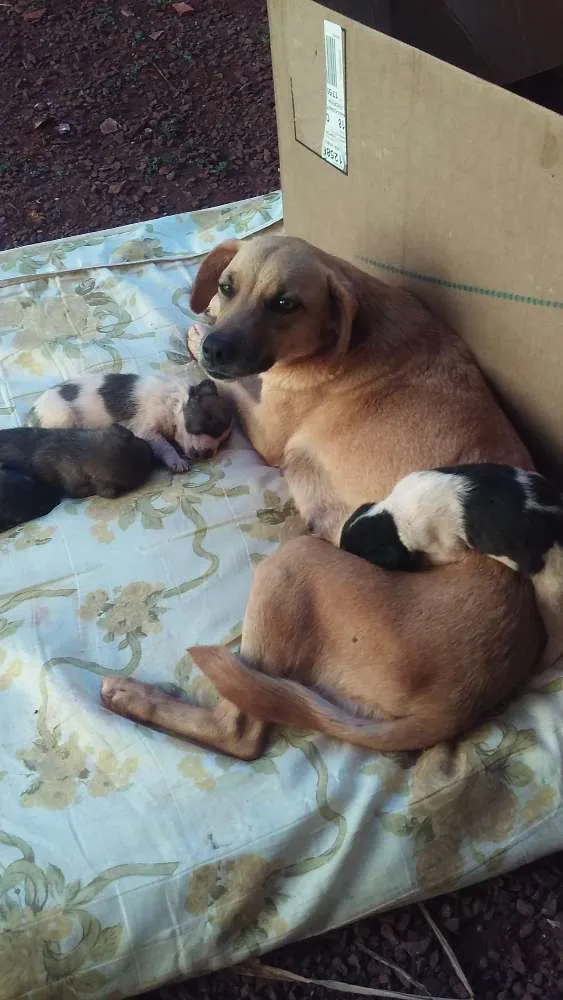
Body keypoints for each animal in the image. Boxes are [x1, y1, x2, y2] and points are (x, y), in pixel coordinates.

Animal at [32, 376, 234, 472]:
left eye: (223, 442)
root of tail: (33, 411)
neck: (174, 404)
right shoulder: (145, 430)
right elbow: (165, 446)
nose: (209, 454)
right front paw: (176, 461)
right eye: (210, 425)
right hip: (62, 416)